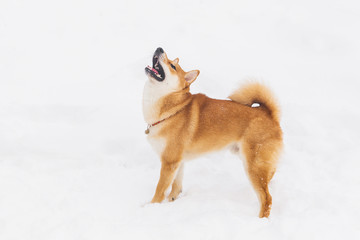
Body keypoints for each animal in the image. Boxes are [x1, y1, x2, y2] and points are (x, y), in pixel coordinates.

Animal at [142, 47, 282, 218]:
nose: (159, 48)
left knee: (267, 198)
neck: (172, 109)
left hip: (253, 166)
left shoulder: (169, 161)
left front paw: (150, 207)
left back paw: (261, 219)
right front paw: (172, 201)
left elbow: (160, 189)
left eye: (173, 66)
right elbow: (176, 185)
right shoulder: (178, 161)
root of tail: (268, 113)